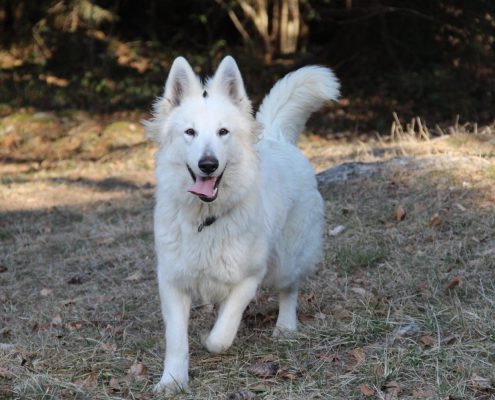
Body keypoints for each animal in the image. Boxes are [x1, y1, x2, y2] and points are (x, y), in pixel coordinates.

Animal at [146, 54, 340, 394]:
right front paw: (173, 380)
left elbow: (221, 335)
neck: (206, 217)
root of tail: (276, 137)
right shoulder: (172, 282)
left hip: (286, 260)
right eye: (190, 132)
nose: (207, 164)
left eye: (223, 131)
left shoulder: (249, 277)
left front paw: (212, 339)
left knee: (289, 289)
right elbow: (176, 341)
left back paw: (285, 326)